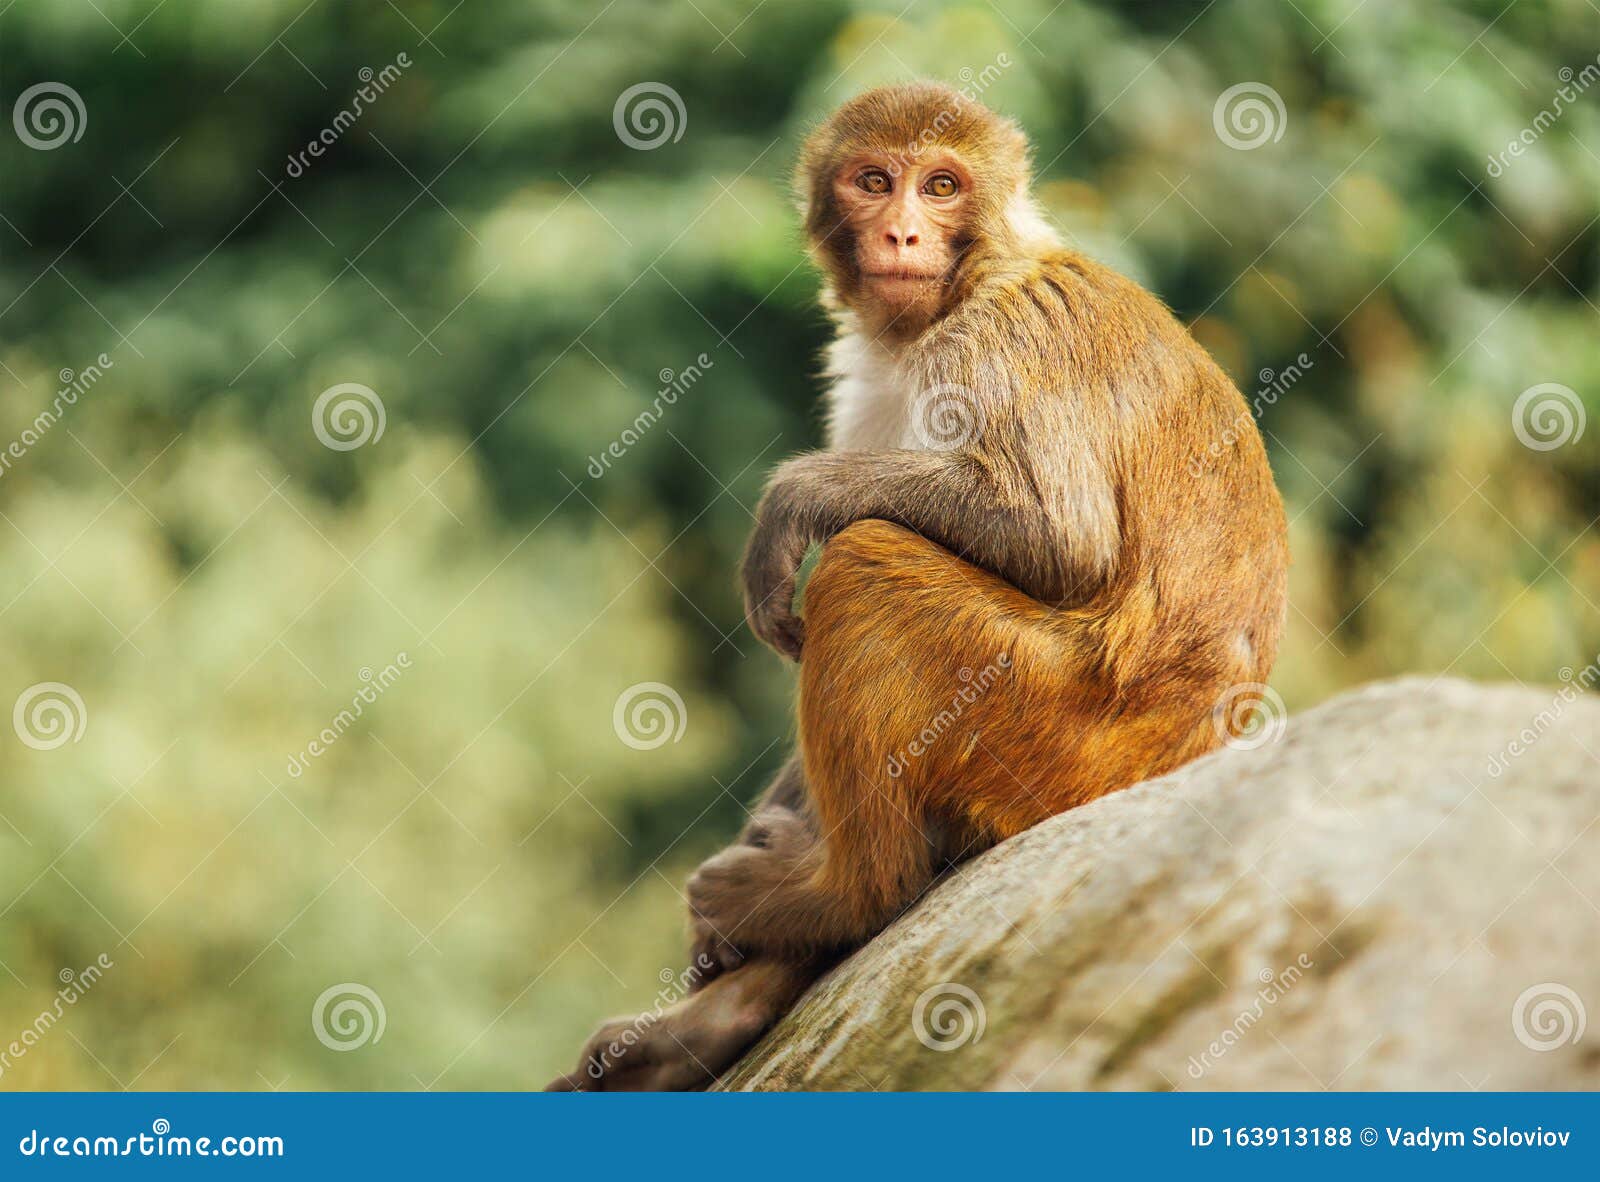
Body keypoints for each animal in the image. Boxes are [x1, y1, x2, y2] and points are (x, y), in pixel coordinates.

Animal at [550, 78, 1286, 1087]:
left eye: (941, 186)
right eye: (874, 181)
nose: (901, 232)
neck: (960, 292)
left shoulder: (1004, 339)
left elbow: (1062, 536)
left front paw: (797, 498)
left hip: (1051, 728)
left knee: (867, 566)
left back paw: (849, 897)